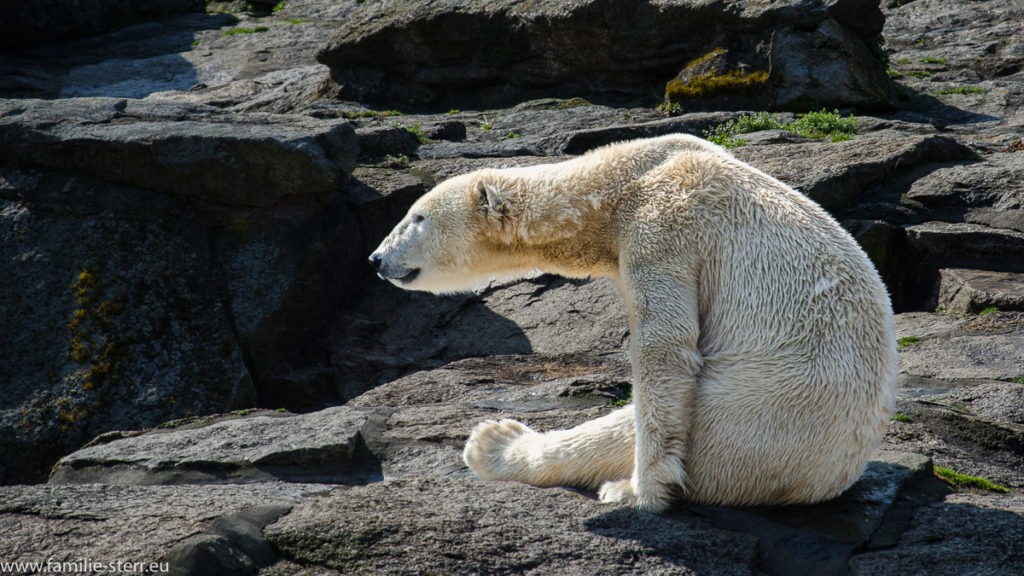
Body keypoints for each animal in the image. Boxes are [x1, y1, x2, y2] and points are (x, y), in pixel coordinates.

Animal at [368, 134, 897, 510]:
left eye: (416, 217)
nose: (375, 259)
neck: (619, 185)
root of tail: (826, 478)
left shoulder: (665, 222)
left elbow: (664, 347)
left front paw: (640, 492)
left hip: (757, 413)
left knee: (630, 425)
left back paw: (497, 444)